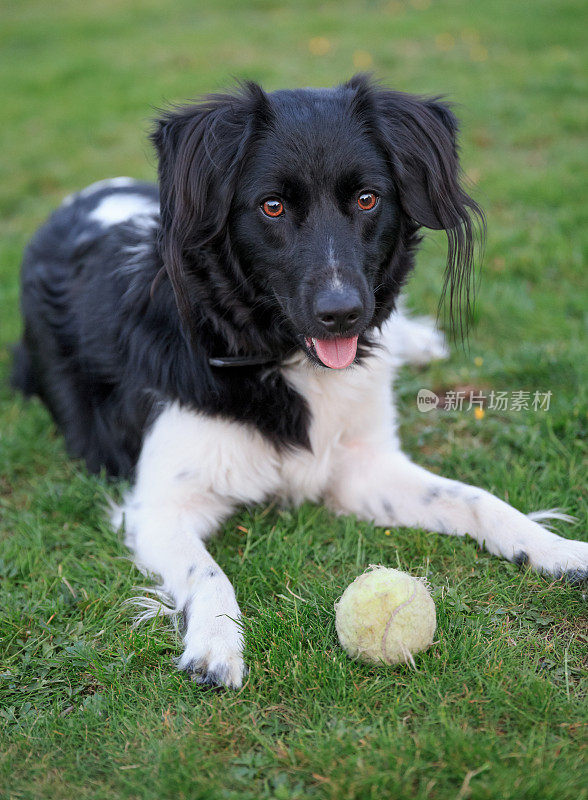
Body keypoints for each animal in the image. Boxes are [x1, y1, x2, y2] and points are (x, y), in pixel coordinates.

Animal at [13, 75, 588, 688]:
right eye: (272, 207)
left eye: (367, 199)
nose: (344, 314)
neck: (278, 354)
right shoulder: (157, 505)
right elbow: (209, 572)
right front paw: (216, 647)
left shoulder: (362, 467)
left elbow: (477, 498)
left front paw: (555, 548)